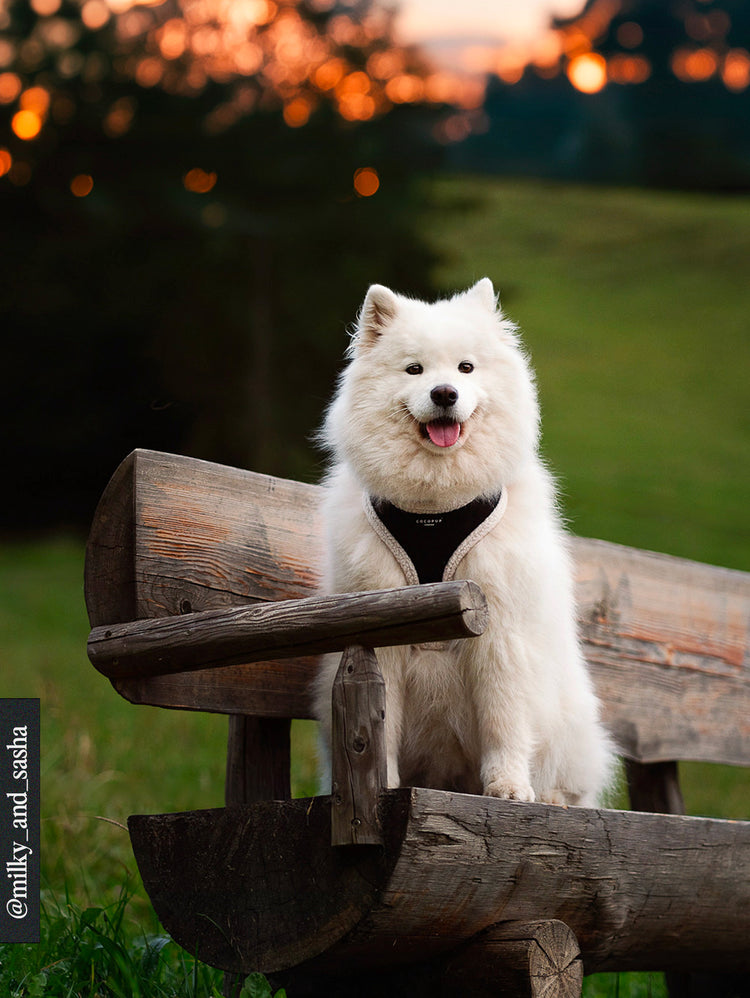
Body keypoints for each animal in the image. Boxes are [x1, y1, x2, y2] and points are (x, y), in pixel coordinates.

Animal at [314, 278, 612, 808]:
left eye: (466, 368)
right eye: (414, 368)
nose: (444, 392)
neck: (434, 506)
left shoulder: (501, 633)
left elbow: (504, 719)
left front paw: (509, 788)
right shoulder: (378, 632)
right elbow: (381, 726)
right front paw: (382, 784)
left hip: (569, 723)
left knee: (569, 781)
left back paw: (551, 798)